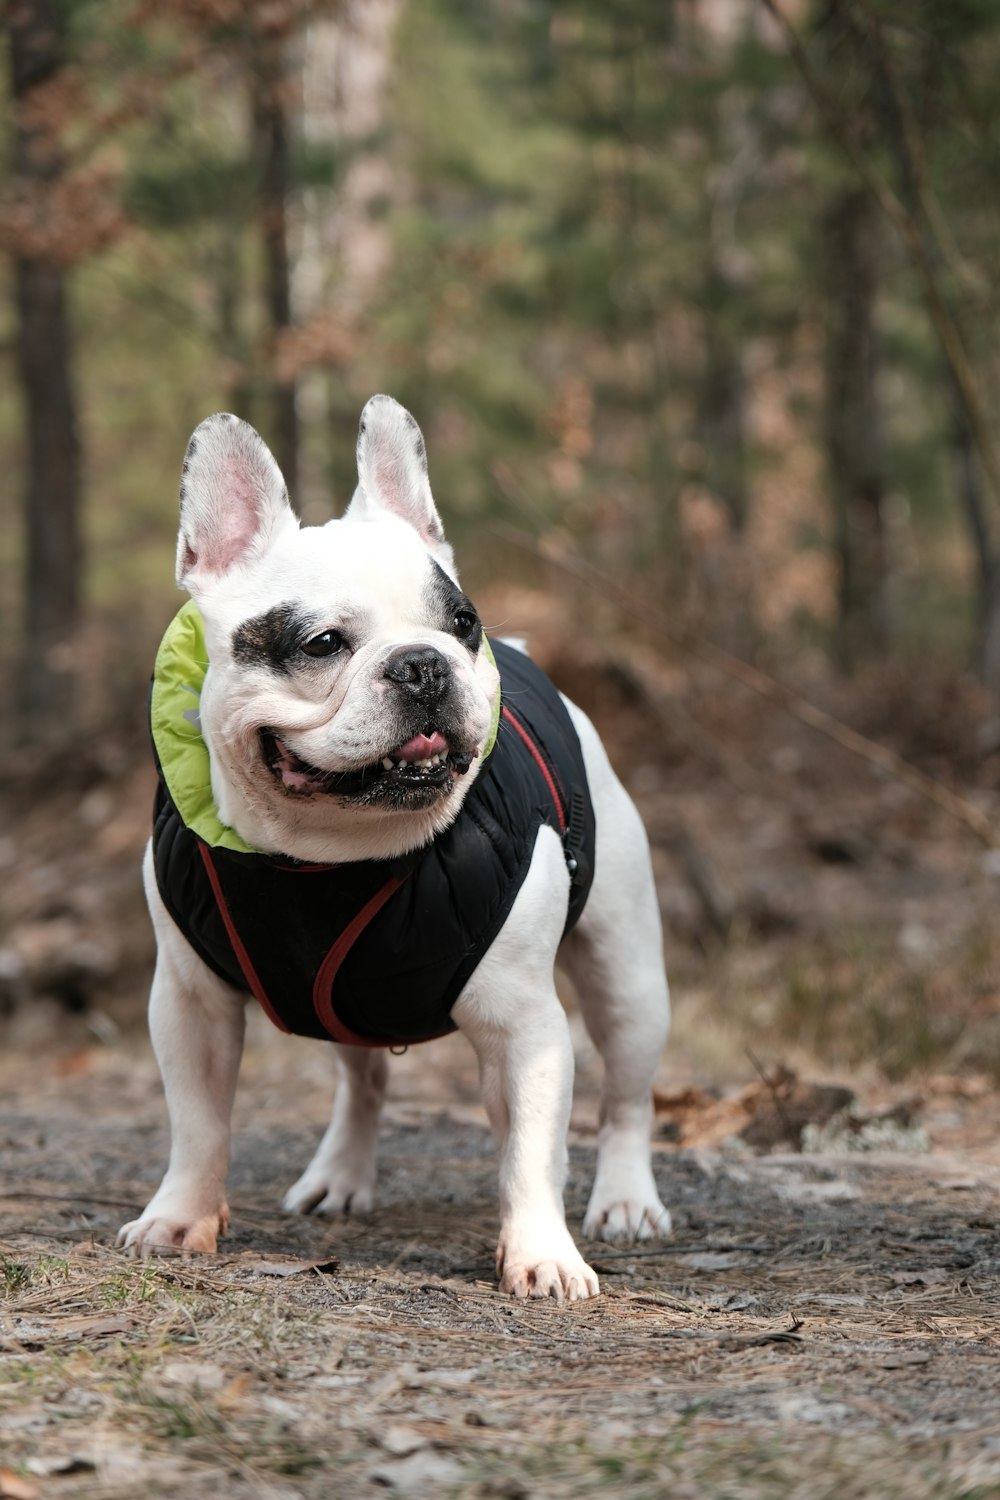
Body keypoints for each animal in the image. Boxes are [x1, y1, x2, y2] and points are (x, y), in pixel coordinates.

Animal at [119, 399, 671, 1302]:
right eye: (320, 644)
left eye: (463, 624)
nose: (422, 664)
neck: (329, 854)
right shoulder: (190, 1004)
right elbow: (198, 1124)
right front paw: (180, 1219)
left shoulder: (525, 1025)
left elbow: (534, 1150)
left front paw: (542, 1253)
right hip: (340, 1003)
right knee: (365, 1082)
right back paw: (340, 1175)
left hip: (627, 977)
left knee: (623, 1095)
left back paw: (625, 1201)